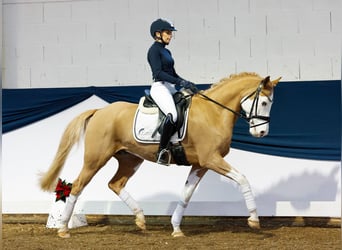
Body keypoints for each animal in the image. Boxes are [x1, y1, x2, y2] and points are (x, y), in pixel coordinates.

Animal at [40, 72, 280, 238]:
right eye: (264, 102)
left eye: (271, 104)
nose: (261, 133)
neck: (213, 113)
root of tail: (100, 111)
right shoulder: (211, 159)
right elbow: (243, 179)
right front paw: (254, 219)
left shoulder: (200, 165)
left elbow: (186, 195)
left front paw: (176, 229)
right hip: (95, 159)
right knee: (77, 185)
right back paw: (63, 228)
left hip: (130, 159)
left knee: (115, 184)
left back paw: (140, 219)